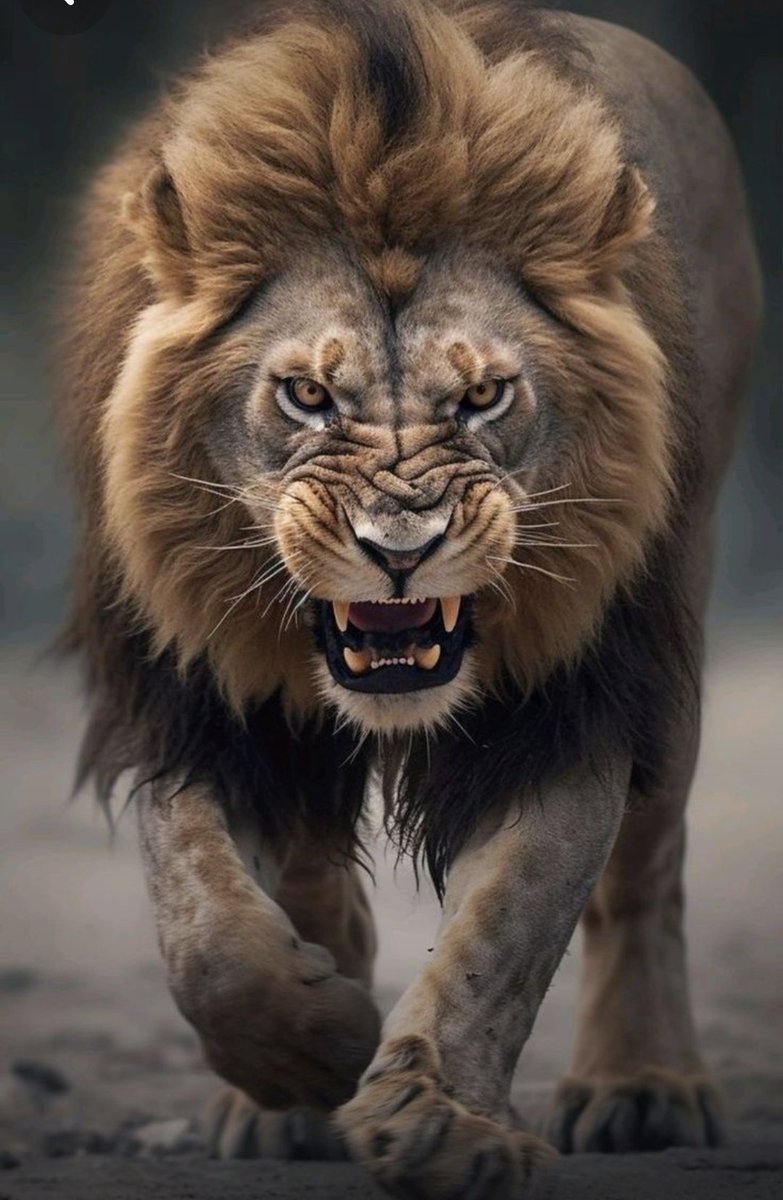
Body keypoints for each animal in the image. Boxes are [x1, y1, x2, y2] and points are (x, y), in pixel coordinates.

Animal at [60, 1, 761, 1195]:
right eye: (306, 395)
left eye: (484, 398)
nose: (401, 551)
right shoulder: (185, 690)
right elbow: (203, 927)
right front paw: (314, 1047)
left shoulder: (570, 700)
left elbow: (507, 933)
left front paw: (440, 1125)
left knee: (647, 871)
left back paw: (641, 1087)